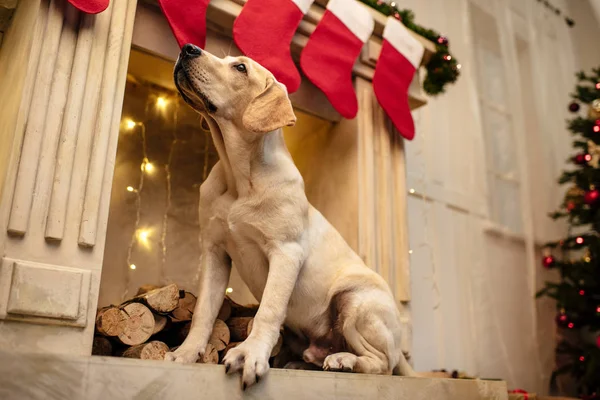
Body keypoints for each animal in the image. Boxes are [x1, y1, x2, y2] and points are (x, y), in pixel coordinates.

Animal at [166, 43, 414, 388]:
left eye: (240, 68)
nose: (187, 48)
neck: (238, 178)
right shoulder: (215, 252)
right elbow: (204, 310)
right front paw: (186, 354)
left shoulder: (285, 253)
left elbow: (268, 310)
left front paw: (249, 354)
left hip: (355, 300)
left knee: (382, 364)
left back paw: (344, 360)